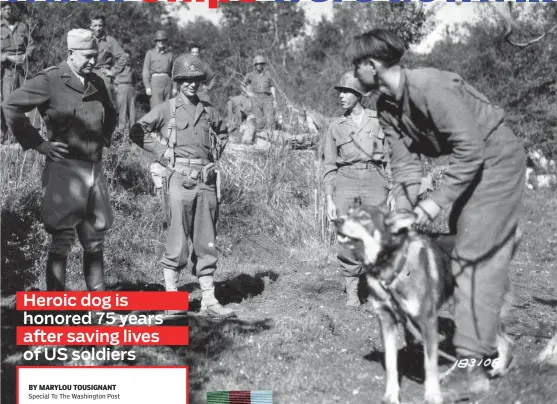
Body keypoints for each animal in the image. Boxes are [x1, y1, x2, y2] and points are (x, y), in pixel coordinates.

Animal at [332, 207, 454, 404]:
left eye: (364, 217)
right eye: (348, 212)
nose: (335, 220)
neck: (391, 267)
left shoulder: (427, 321)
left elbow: (430, 363)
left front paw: (433, 395)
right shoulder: (386, 319)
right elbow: (390, 363)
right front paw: (391, 395)